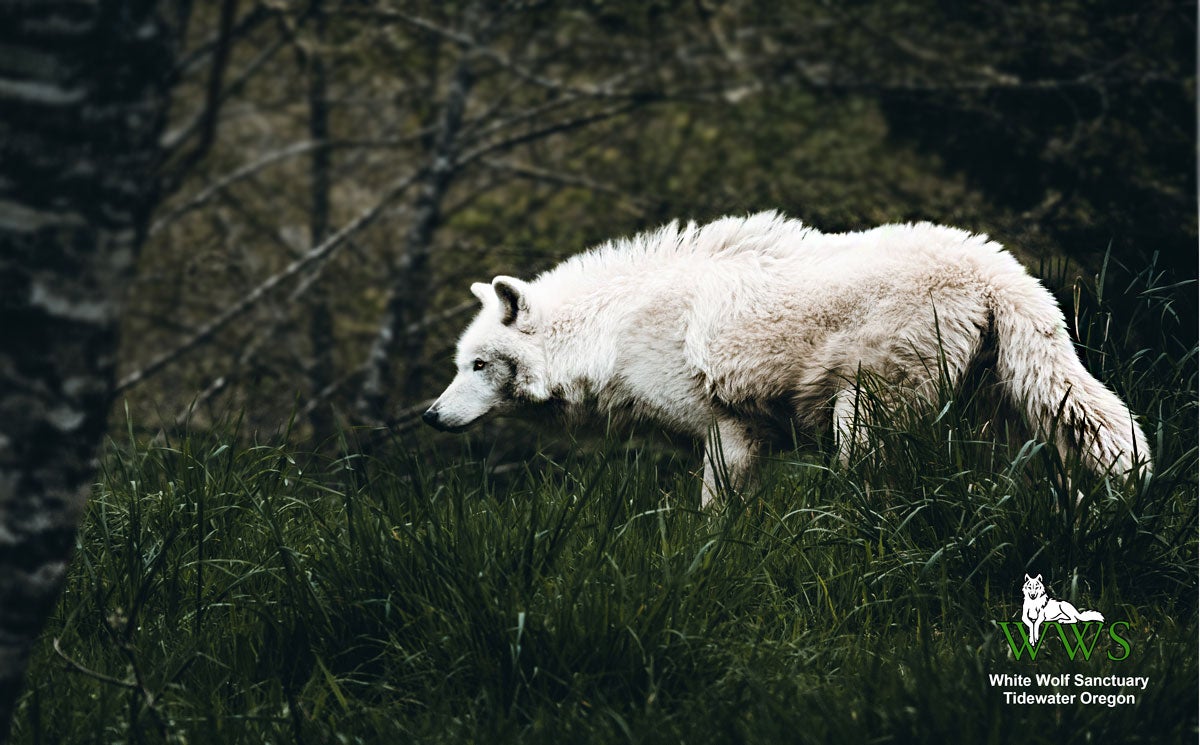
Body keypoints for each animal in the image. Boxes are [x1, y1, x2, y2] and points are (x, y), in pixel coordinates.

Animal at [423, 212, 1150, 506]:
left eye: (478, 366)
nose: (430, 416)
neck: (611, 332)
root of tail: (999, 270)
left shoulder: (732, 427)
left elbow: (714, 511)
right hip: (994, 413)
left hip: (865, 415)